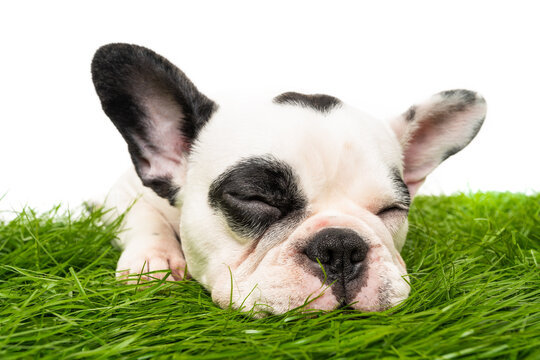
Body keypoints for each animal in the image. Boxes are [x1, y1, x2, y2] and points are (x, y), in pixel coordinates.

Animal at [90, 43, 488, 314]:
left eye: (391, 210)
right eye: (254, 199)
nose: (340, 246)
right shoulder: (124, 193)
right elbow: (142, 218)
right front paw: (152, 260)